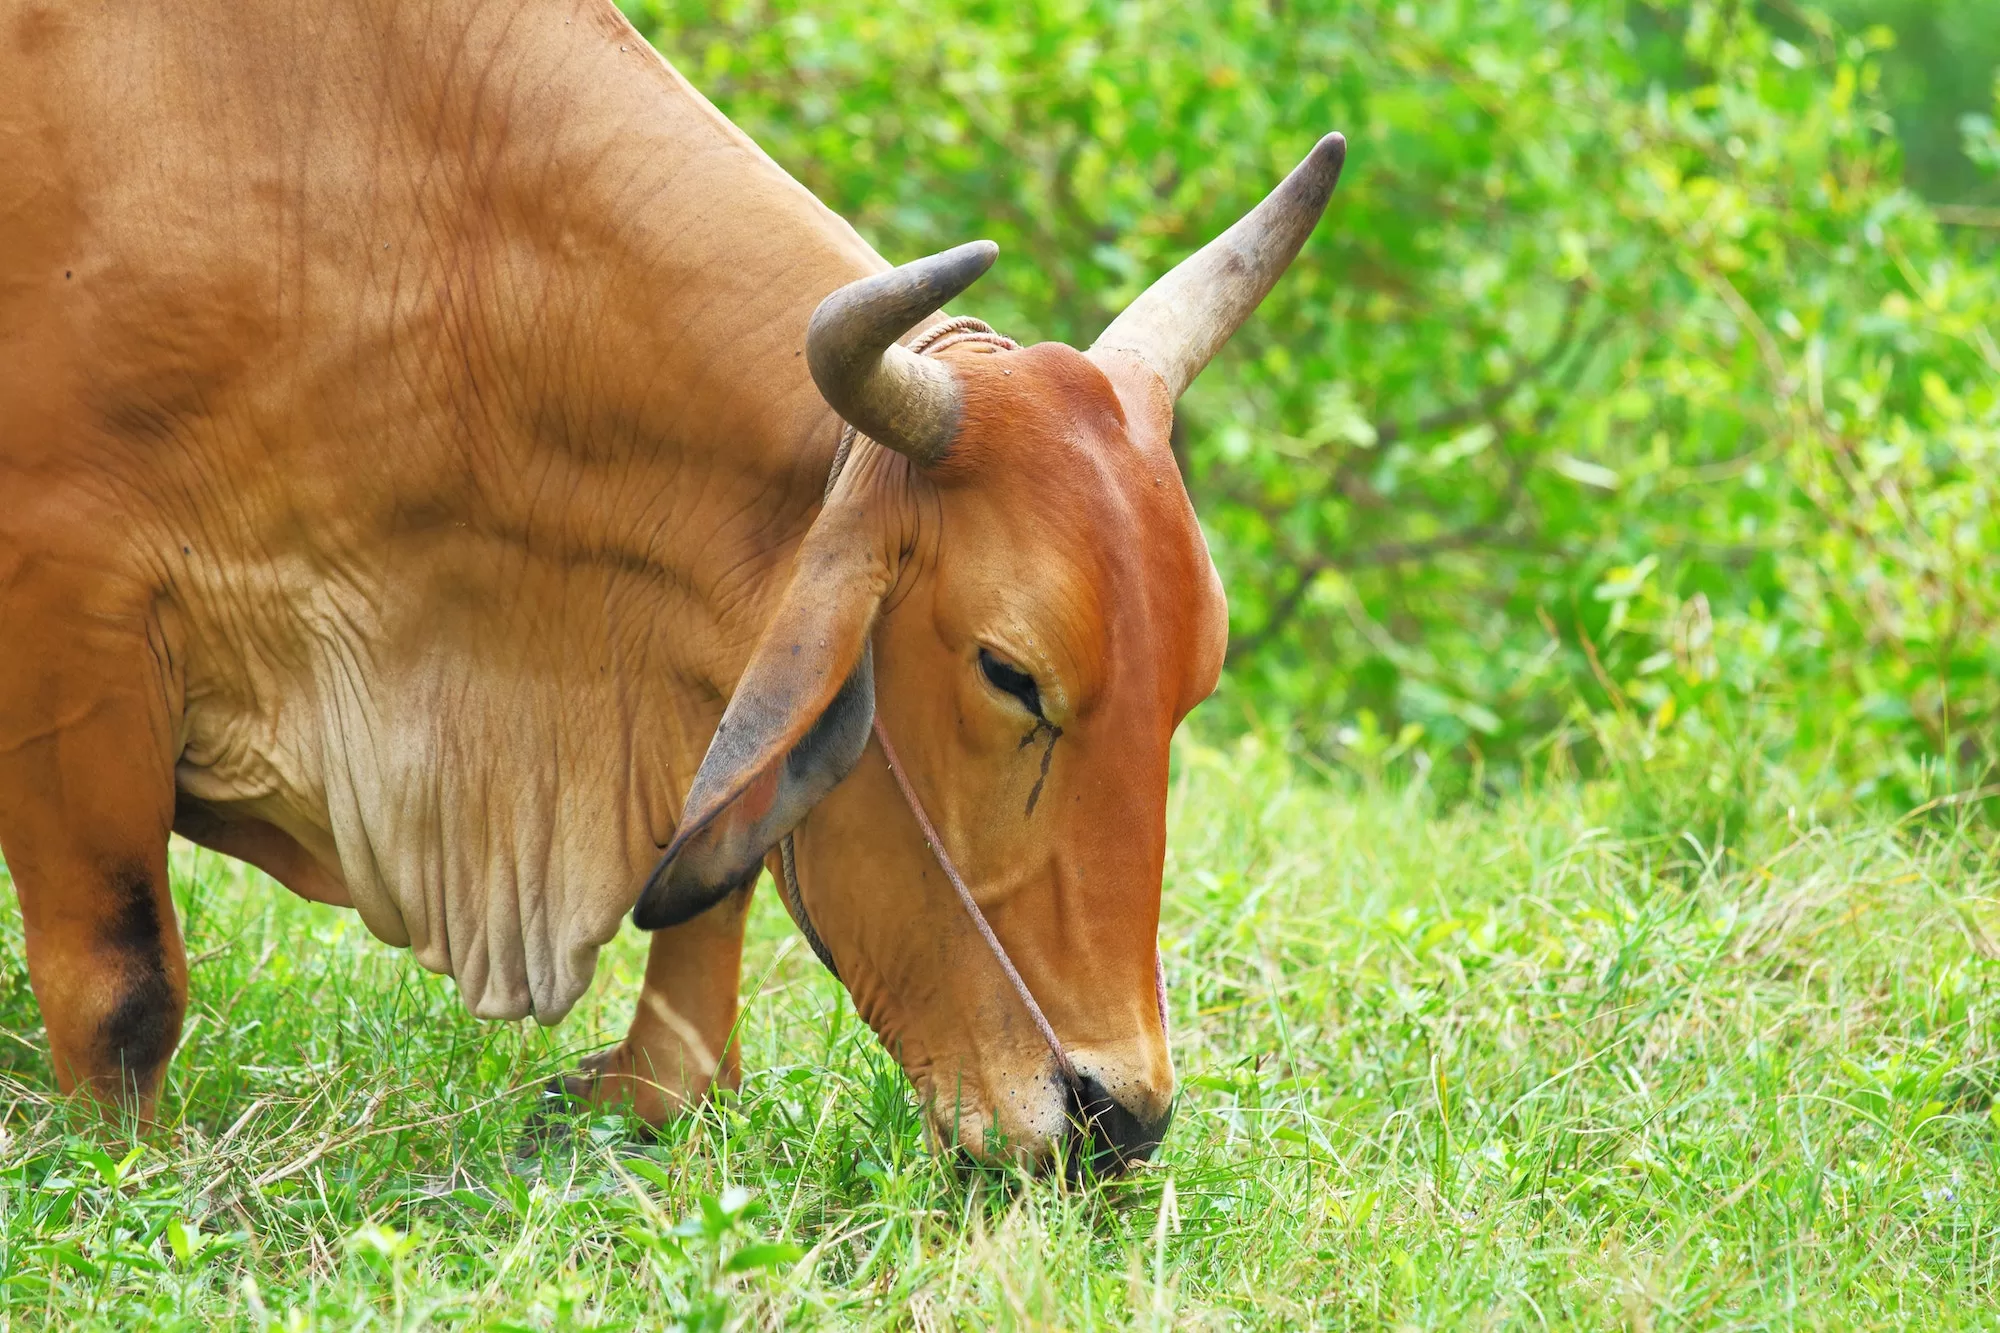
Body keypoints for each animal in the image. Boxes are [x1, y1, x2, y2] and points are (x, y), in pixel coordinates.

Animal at [0, 0, 1343, 1173]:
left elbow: (689, 1035)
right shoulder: (68, 616)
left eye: (1190, 687)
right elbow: (125, 995)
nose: (1120, 1118)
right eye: (1010, 674)